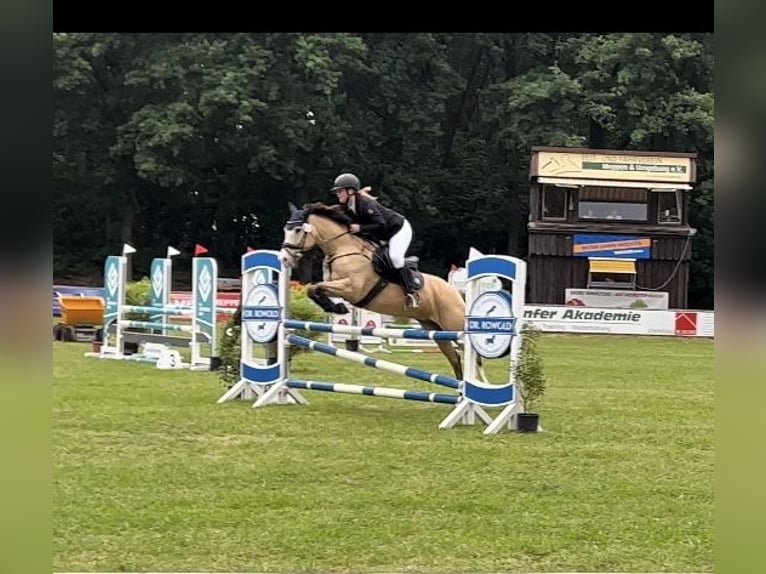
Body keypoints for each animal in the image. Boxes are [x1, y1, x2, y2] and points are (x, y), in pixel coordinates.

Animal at [280, 202, 476, 382]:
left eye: (297, 230)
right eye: (285, 229)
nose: (284, 258)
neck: (343, 248)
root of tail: (454, 291)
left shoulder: (352, 288)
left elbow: (317, 288)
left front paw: (338, 308)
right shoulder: (336, 285)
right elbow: (313, 289)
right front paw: (336, 308)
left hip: (453, 324)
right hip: (435, 329)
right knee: (455, 358)